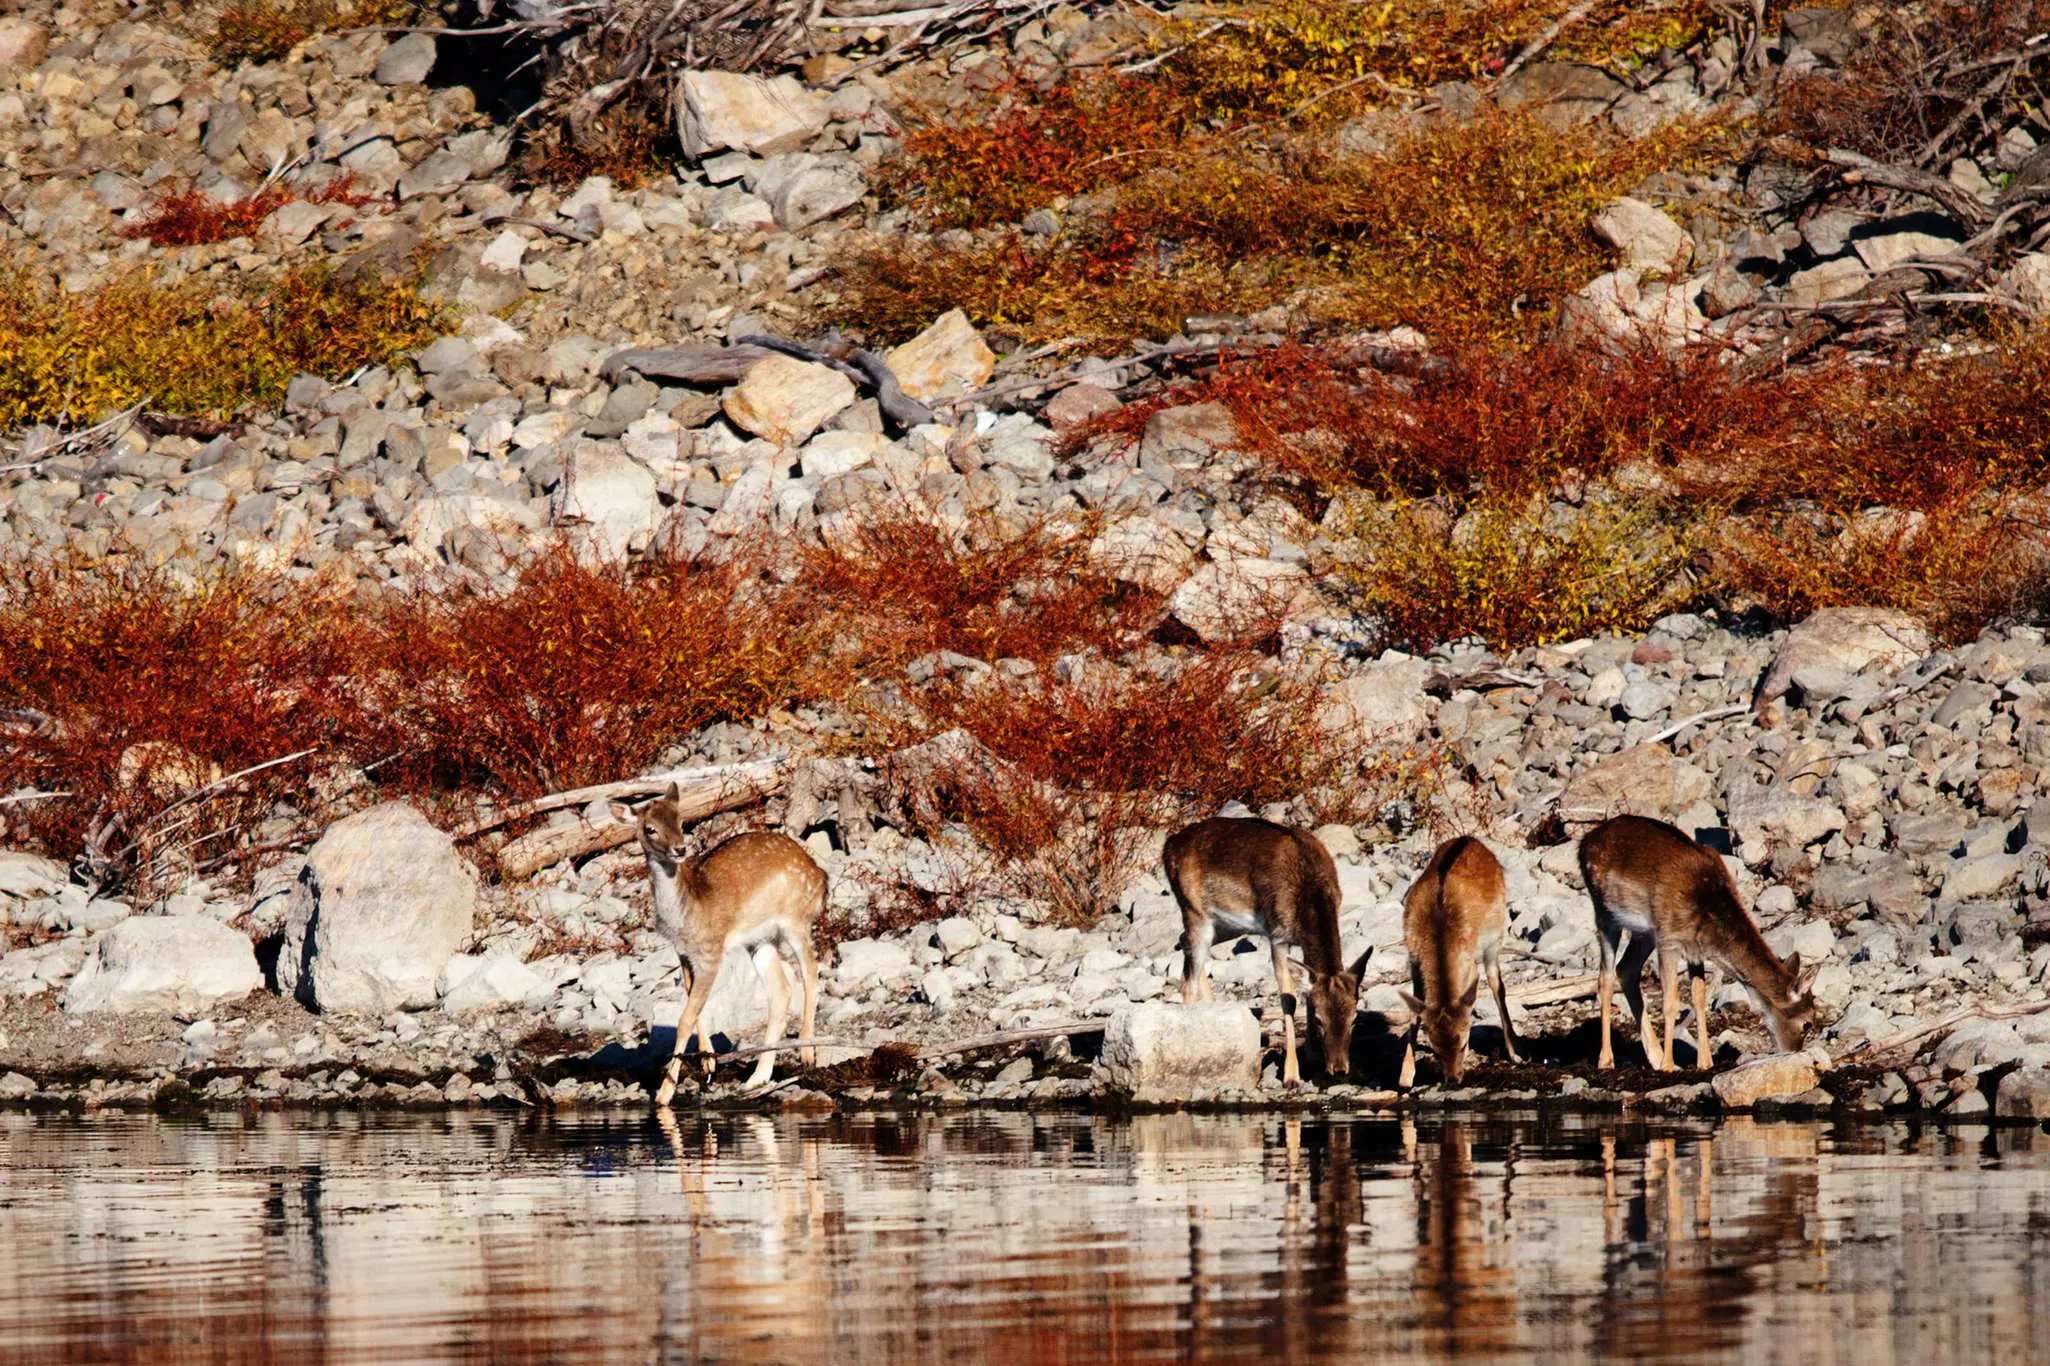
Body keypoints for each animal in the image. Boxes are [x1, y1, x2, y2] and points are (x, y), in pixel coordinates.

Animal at [609, 783, 827, 1105]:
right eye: (650, 828)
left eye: (681, 821)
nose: (680, 849)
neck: (685, 914)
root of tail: (821, 876)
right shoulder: (683, 953)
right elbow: (693, 1005)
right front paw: (708, 1061)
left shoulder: (713, 950)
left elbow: (686, 1017)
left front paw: (664, 1093)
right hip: (759, 939)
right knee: (781, 990)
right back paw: (756, 1079)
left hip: (796, 919)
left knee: (811, 973)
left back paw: (807, 1053)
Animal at [1164, 816, 1370, 1085]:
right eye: (1319, 1020)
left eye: (1355, 1018)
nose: (1339, 1069)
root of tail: (1169, 846)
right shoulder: (1277, 936)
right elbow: (1288, 998)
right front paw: (1291, 1076)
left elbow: (1307, 990)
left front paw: (1312, 1057)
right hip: (1194, 911)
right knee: (1187, 979)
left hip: (1226, 925)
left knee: (1183, 944)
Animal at [1397, 836, 1521, 1088]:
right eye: (1434, 1050)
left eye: (1463, 1045)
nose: (1453, 1080)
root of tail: (1470, 839)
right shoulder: (1413, 961)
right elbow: (1415, 1011)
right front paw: (1405, 1076)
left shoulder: (1471, 967)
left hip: (1495, 935)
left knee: (1497, 983)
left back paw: (1515, 1052)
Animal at [1580, 814, 1820, 1072]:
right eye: (1807, 1022)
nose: (1794, 1051)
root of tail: (1586, 840)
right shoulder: (1668, 939)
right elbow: (1670, 1001)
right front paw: (1668, 1065)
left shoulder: (1695, 949)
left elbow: (1699, 997)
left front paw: (1705, 1062)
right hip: (1605, 912)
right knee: (1605, 976)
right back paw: (1607, 1060)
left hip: (1643, 933)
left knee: (1626, 969)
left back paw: (1653, 1055)